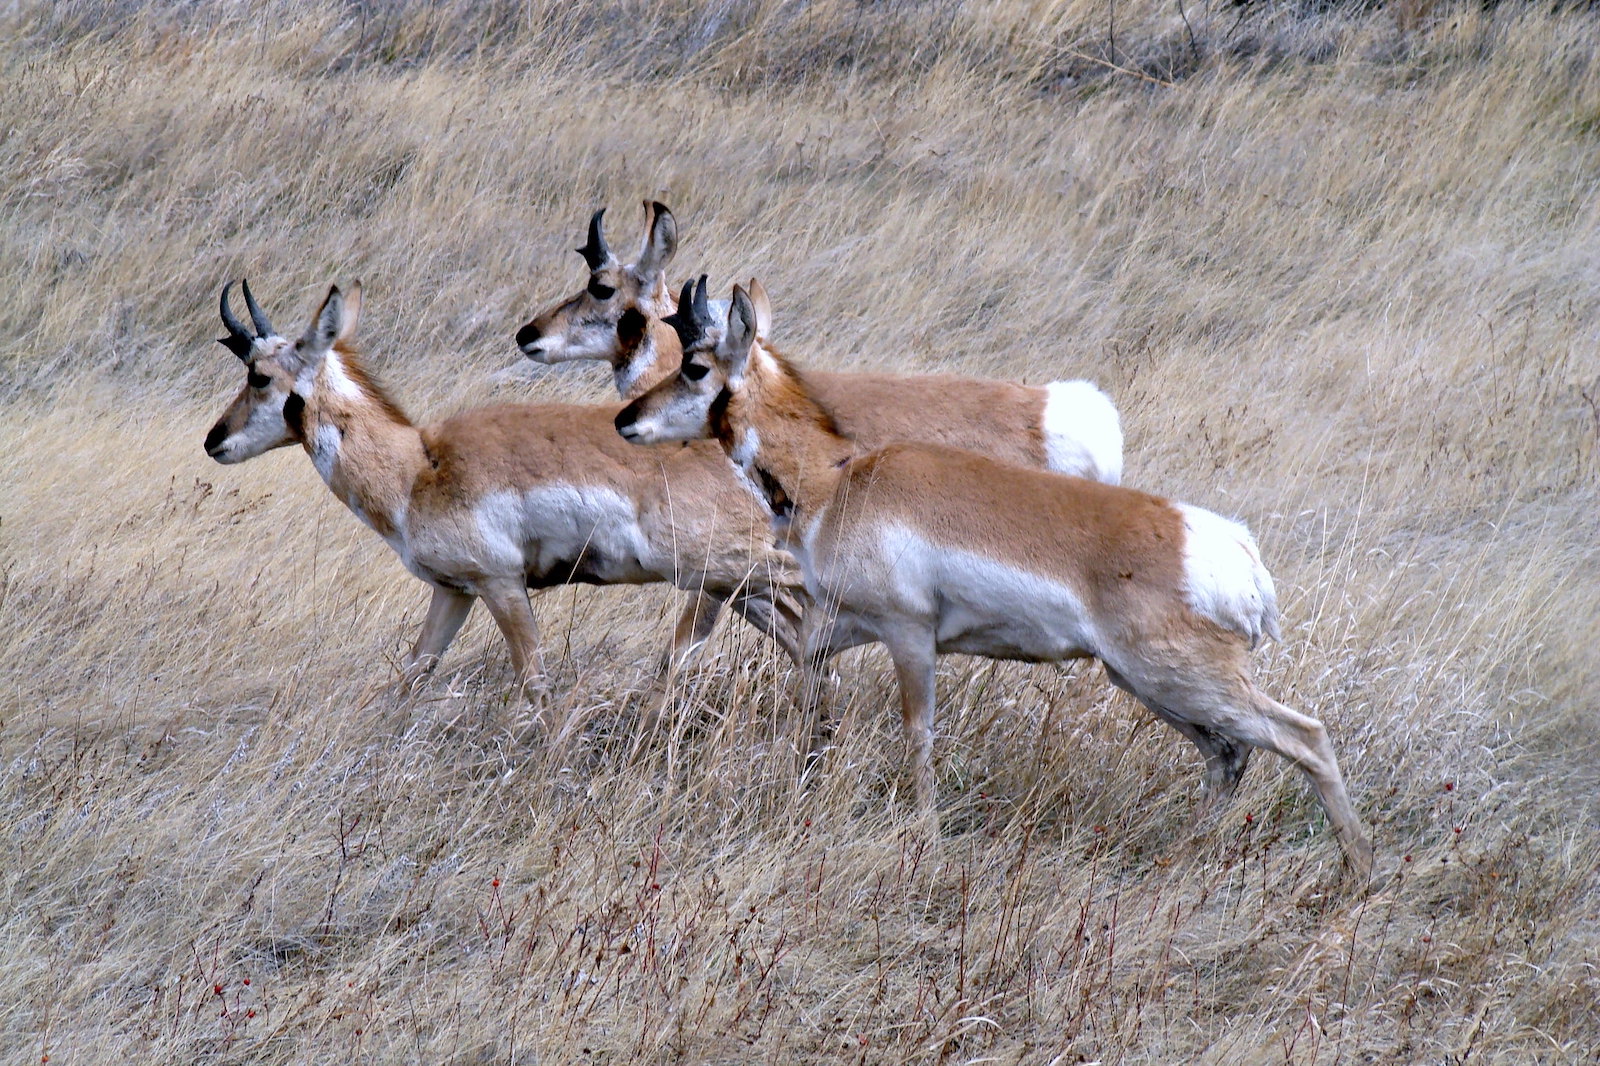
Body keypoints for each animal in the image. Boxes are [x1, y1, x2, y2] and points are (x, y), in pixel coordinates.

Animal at [203, 279, 805, 712]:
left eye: (258, 375)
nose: (214, 440)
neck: (419, 465)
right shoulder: (453, 592)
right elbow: (410, 676)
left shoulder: (501, 585)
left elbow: (536, 687)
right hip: (733, 589)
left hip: (737, 572)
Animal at [614, 281, 1375, 878]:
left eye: (696, 366)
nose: (625, 421)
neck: (840, 479)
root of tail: (1225, 547)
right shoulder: (834, 630)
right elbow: (811, 701)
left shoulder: (910, 637)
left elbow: (918, 735)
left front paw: (925, 839)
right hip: (1148, 683)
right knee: (1228, 754)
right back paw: (1182, 858)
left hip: (1179, 678)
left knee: (1302, 737)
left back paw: (1359, 872)